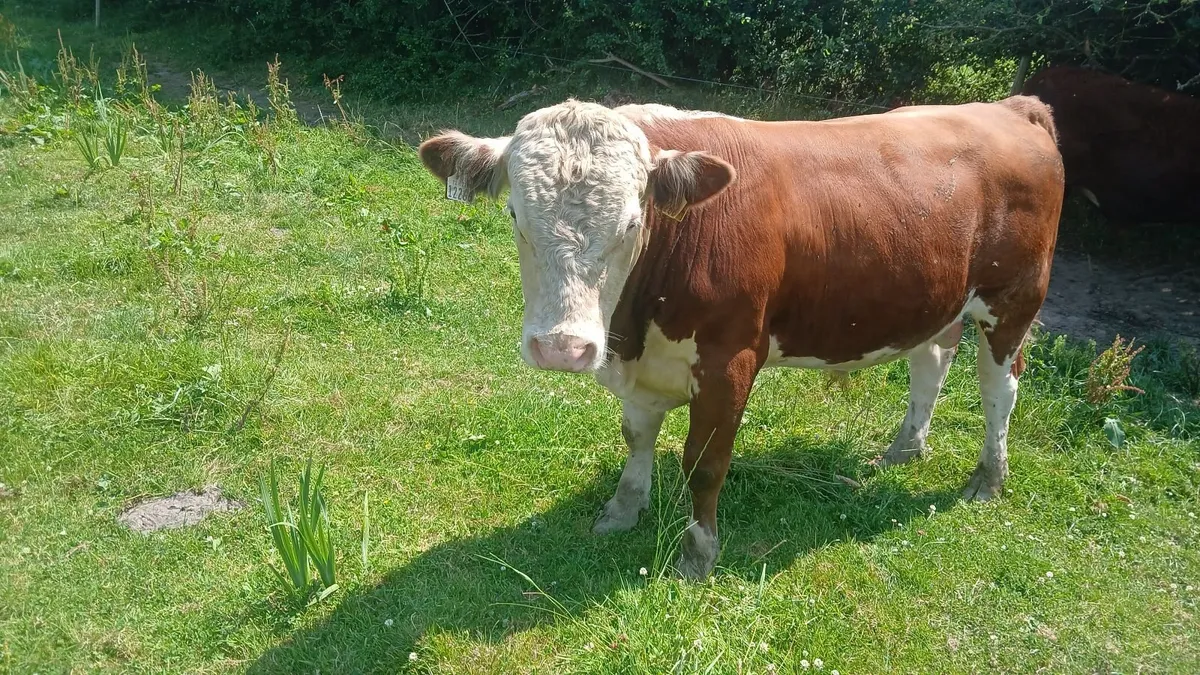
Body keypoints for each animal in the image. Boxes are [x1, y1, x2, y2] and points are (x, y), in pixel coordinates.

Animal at [419, 96, 1064, 578]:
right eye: (515, 217)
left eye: (633, 221)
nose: (562, 348)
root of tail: (1010, 107)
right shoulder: (642, 363)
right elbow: (636, 436)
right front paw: (623, 509)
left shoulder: (730, 358)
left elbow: (704, 462)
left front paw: (698, 554)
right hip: (937, 298)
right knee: (930, 361)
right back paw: (904, 449)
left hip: (1014, 301)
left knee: (998, 390)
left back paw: (988, 478)